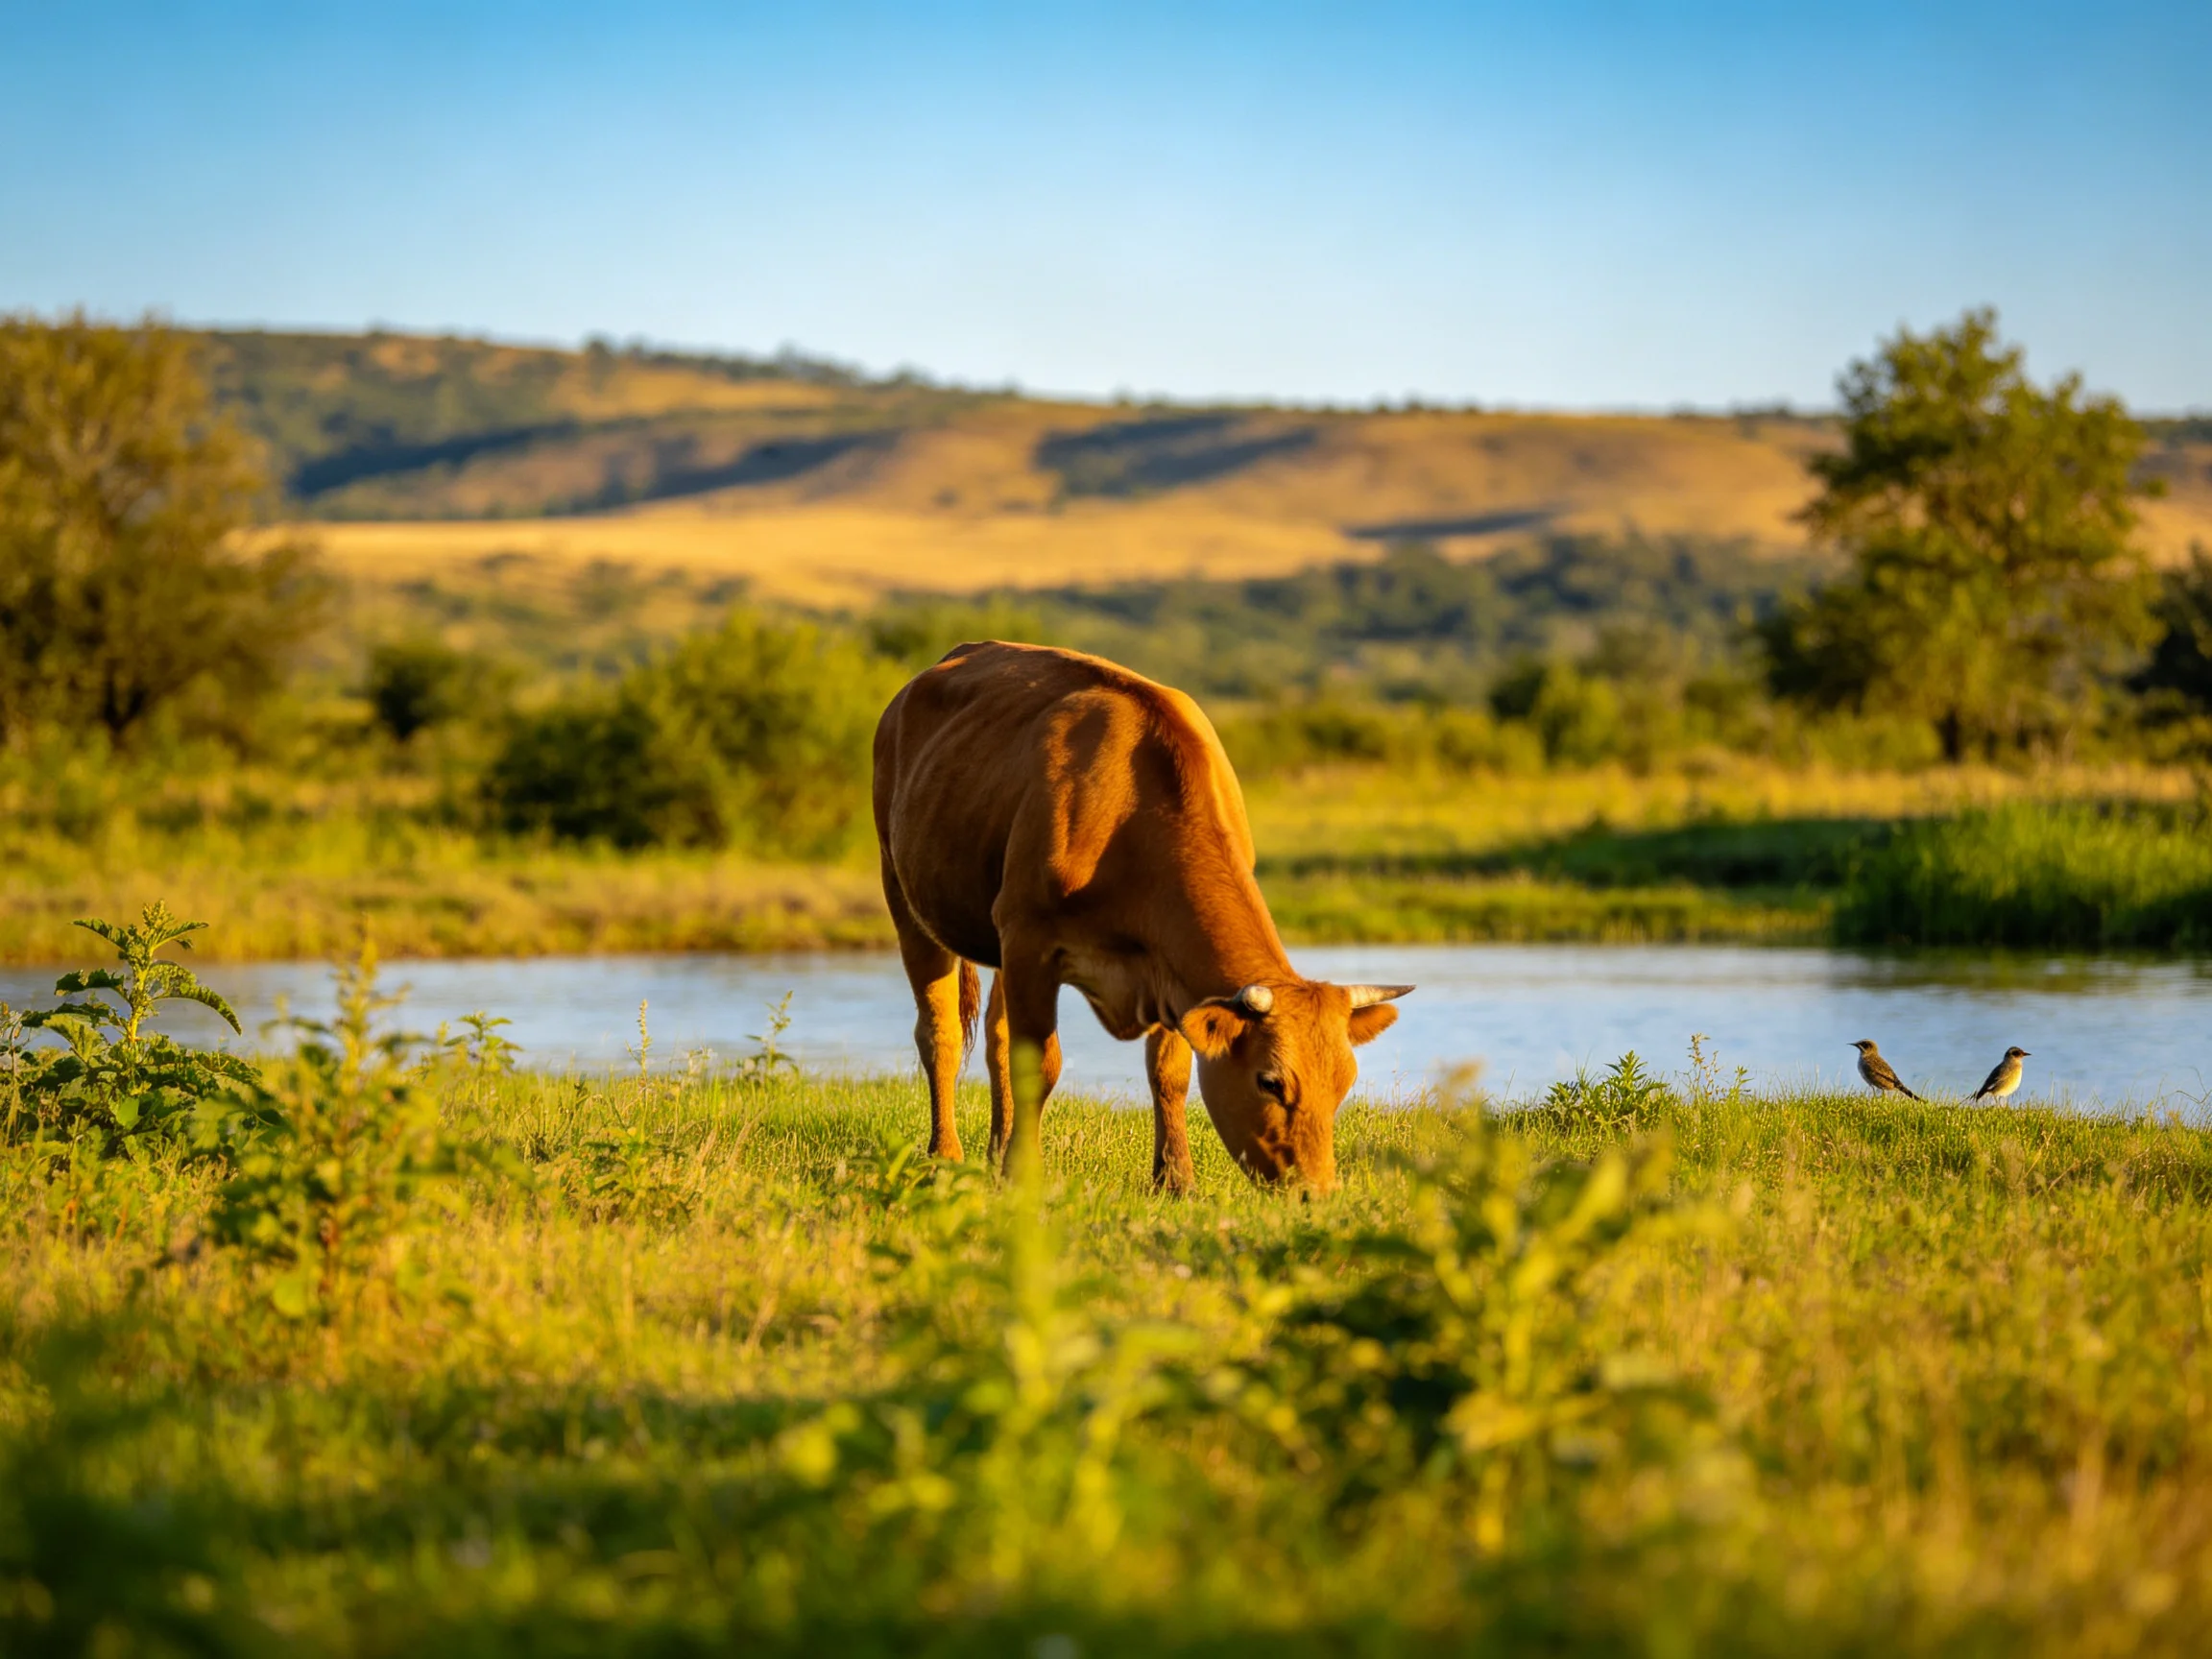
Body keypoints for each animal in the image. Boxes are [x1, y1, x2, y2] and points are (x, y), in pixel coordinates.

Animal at [871, 639, 1410, 1193]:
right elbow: (1038, 1064)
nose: (1316, 1191)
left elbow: (1169, 1072)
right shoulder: (1029, 940)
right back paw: (945, 1157)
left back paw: (994, 1155)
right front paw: (1025, 1176)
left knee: (995, 1036)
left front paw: (1175, 1180)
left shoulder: (1167, 966)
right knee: (939, 1033)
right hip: (904, 893)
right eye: (1270, 1081)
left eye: (1345, 1082)